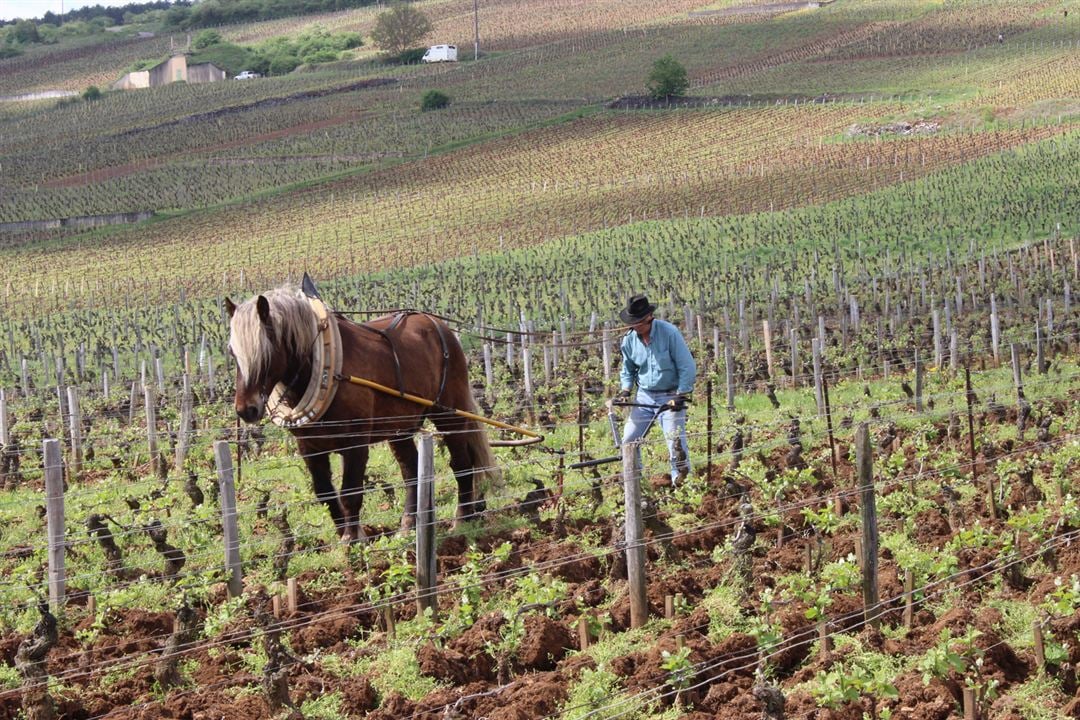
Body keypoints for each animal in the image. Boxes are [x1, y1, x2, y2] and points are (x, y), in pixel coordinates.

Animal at [227, 284, 496, 537]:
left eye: (266, 348)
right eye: (232, 351)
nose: (246, 410)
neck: (326, 370)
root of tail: (438, 325)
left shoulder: (355, 443)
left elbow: (350, 492)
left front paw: (353, 539)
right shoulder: (309, 448)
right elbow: (325, 493)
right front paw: (343, 536)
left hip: (449, 413)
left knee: (461, 463)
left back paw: (462, 519)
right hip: (399, 427)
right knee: (411, 470)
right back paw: (409, 524)